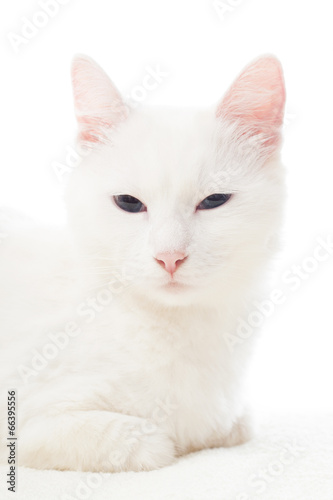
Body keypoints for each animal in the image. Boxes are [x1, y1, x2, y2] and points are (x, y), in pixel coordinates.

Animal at [0, 55, 286, 472]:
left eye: (214, 201)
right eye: (129, 203)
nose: (170, 256)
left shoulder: (235, 418)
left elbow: (234, 425)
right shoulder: (33, 423)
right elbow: (150, 444)